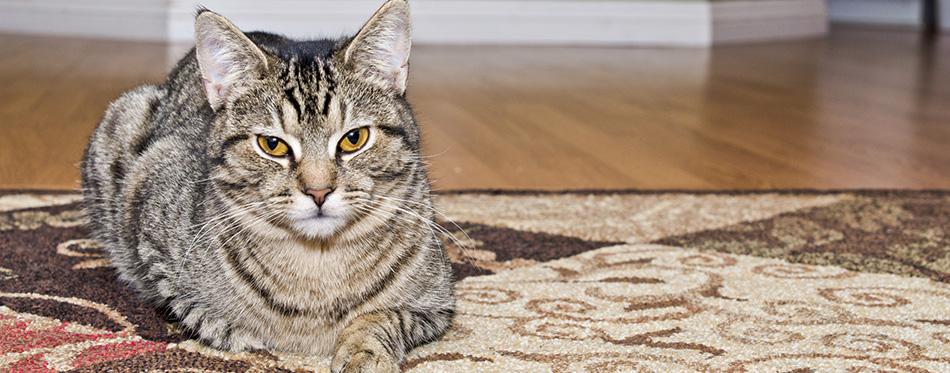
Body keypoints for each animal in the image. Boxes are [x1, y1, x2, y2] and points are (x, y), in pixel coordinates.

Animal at [79, 1, 458, 370]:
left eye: (354, 139)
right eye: (272, 145)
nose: (318, 191)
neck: (319, 267)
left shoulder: (438, 302)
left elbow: (384, 317)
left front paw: (365, 354)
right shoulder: (148, 213)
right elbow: (188, 306)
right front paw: (235, 329)